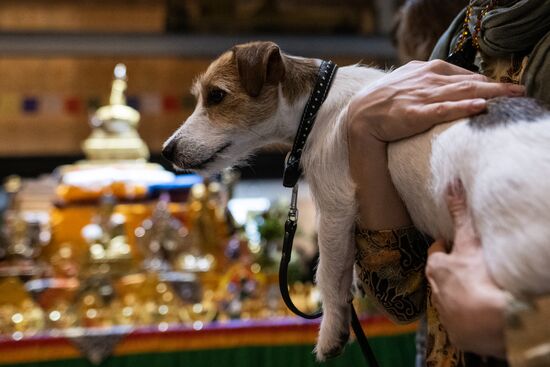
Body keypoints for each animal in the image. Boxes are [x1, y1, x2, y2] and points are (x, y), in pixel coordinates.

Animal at [163, 41, 550, 360]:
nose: (167, 150)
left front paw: (332, 333)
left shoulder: (335, 206)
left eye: (216, 95)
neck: (316, 104)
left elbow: (329, 276)